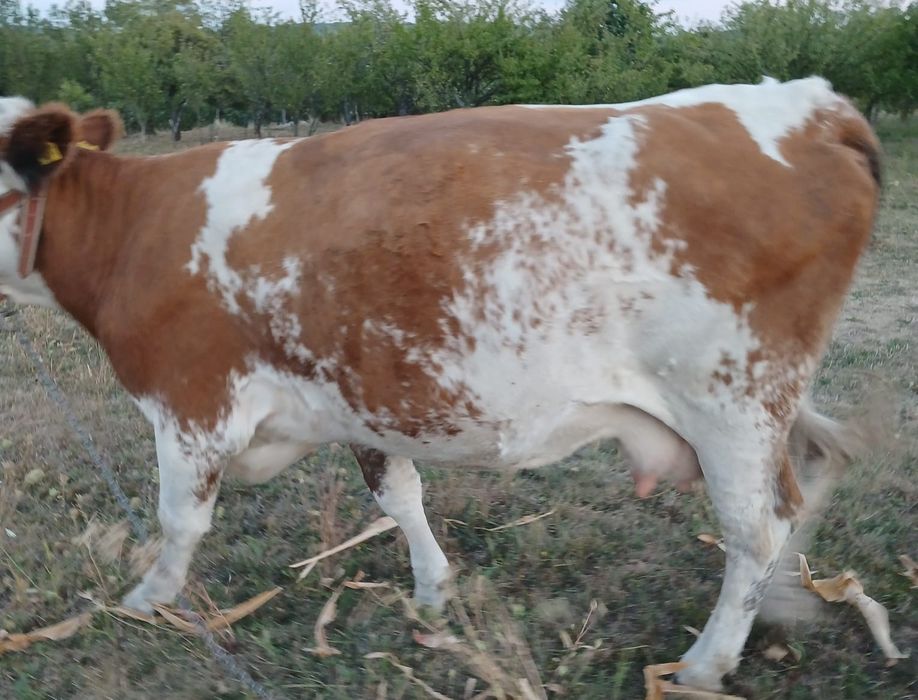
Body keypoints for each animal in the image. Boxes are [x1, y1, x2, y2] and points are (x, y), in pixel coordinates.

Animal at [0, 77, 880, 690]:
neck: (133, 228)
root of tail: (813, 104)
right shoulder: (354, 400)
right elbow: (400, 496)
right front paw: (430, 592)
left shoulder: (191, 404)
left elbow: (179, 521)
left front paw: (148, 598)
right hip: (769, 399)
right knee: (823, 457)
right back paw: (785, 607)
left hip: (730, 399)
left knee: (757, 527)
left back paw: (704, 664)